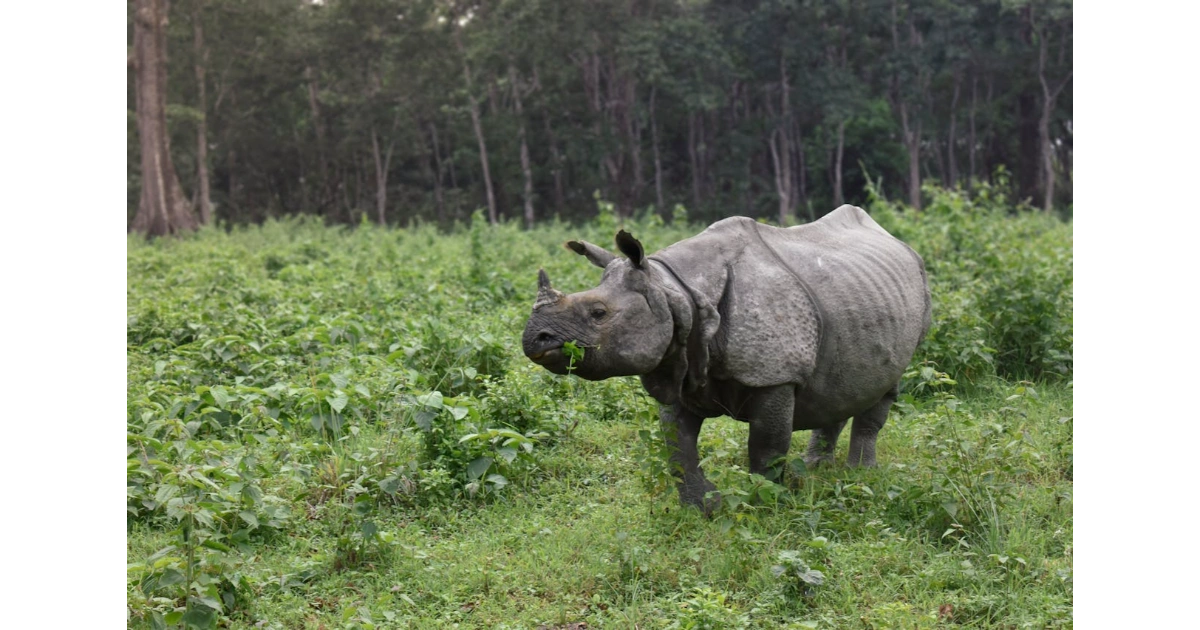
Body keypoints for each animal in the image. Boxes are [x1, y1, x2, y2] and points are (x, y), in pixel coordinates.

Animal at [521, 204, 932, 514]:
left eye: (598, 313)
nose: (534, 338)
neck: (676, 291)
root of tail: (898, 242)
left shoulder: (774, 376)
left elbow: (766, 447)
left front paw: (762, 504)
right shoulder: (680, 362)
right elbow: (677, 446)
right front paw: (704, 507)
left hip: (920, 289)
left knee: (885, 388)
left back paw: (860, 476)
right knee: (837, 387)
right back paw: (818, 470)